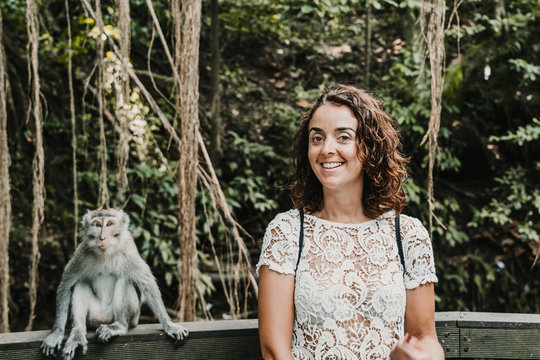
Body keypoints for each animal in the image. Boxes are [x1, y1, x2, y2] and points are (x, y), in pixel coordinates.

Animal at [40, 207, 188, 358]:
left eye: (109, 224)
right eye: (97, 225)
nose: (102, 237)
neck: (106, 252)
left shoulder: (128, 249)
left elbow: (147, 283)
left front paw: (170, 326)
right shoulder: (82, 252)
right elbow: (66, 284)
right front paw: (57, 333)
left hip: (132, 317)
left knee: (125, 280)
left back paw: (119, 326)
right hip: (93, 316)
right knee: (80, 283)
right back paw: (78, 333)